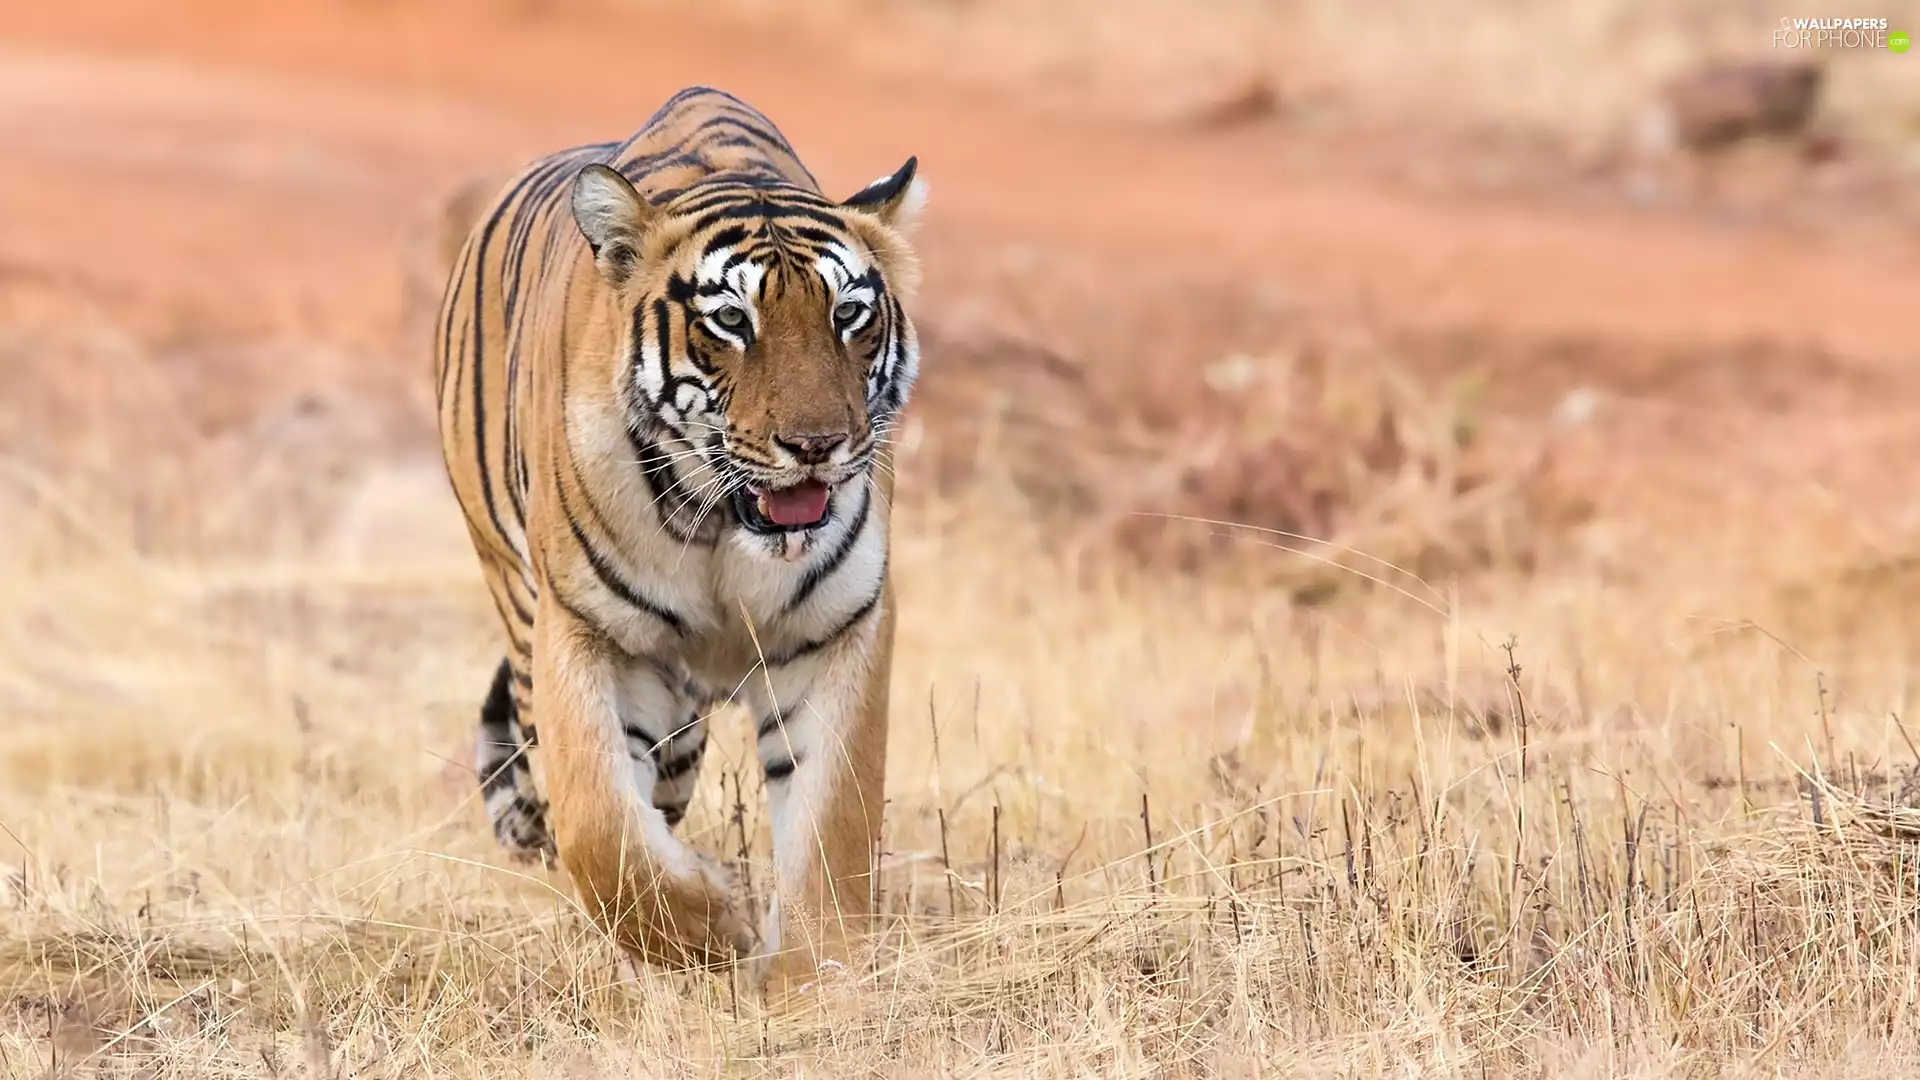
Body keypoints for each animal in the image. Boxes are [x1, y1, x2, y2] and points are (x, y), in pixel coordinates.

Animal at [428, 85, 924, 996]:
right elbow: (600, 826)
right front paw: (708, 933)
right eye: (731, 321)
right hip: (527, 604)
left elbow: (833, 821)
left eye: (848, 315)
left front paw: (814, 982)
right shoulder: (586, 631)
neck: (727, 530)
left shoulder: (842, 625)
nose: (817, 445)